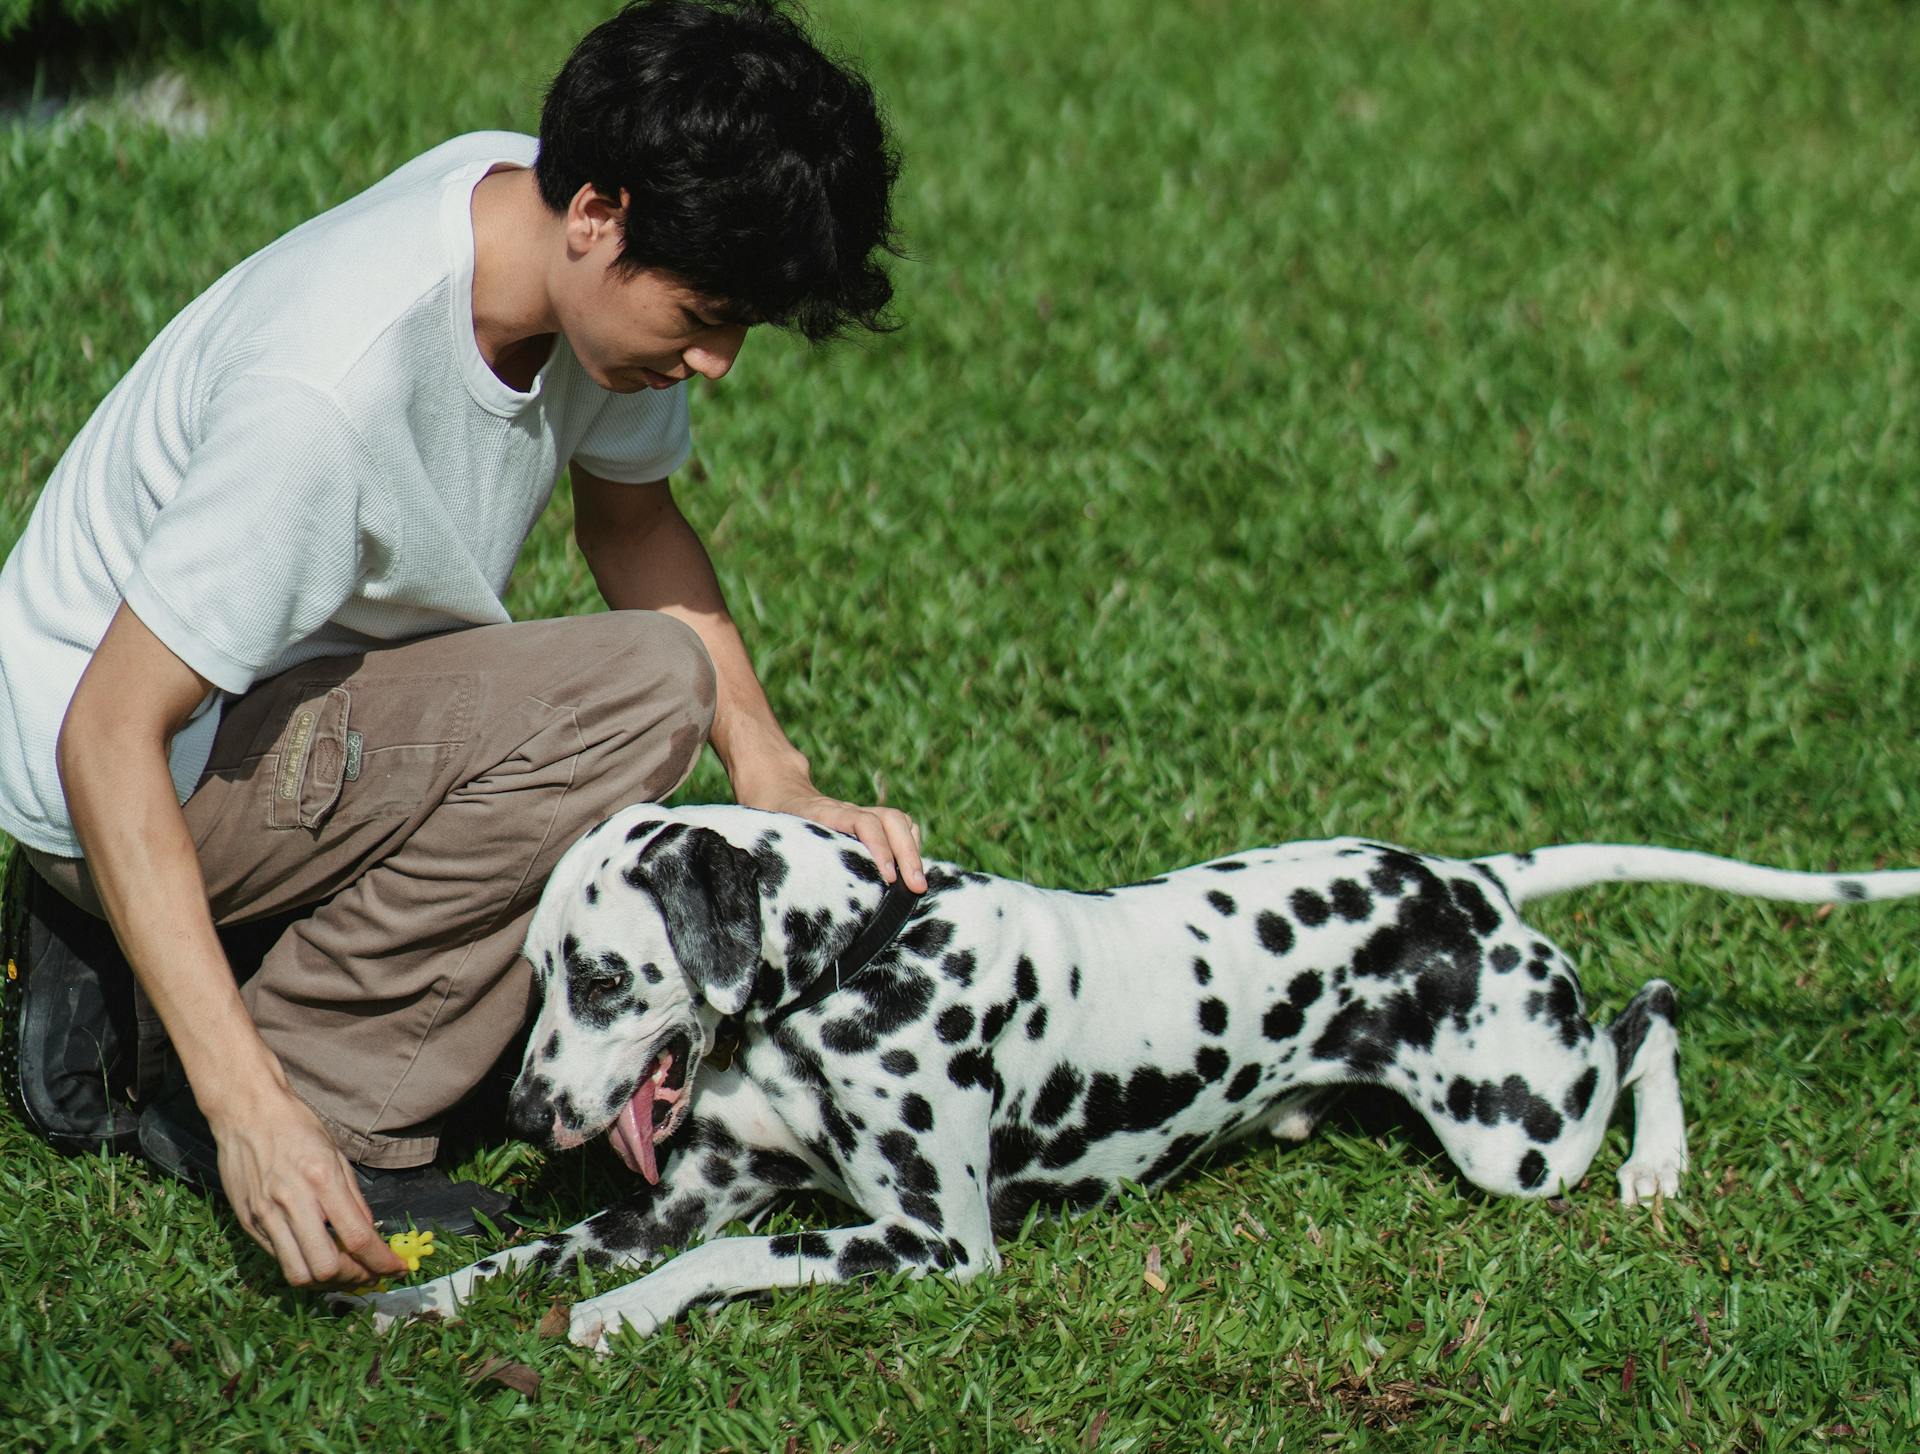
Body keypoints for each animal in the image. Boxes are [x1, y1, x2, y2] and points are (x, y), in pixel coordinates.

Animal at [345, 799, 1920, 1344]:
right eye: (537, 973)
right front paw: (413, 1293)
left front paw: (619, 1318)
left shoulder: (933, 1245)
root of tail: (1463, 877)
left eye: (608, 976)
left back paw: (1660, 1165)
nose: (530, 1111)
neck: (863, 956)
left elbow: (717, 1262)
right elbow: (538, 1251)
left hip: (1522, 1133)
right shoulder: (678, 1196)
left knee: (1655, 1011)